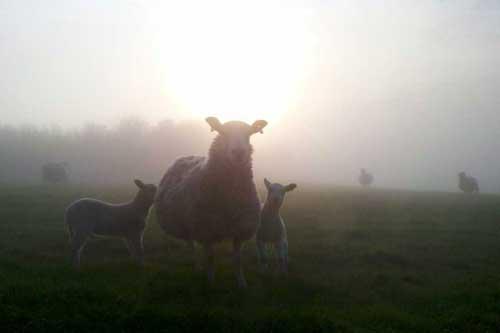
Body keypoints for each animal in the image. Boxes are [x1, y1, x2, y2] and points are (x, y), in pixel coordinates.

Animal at [156, 116, 268, 286]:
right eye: (223, 132)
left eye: (249, 134)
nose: (239, 152)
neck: (229, 198)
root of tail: (189, 156)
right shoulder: (206, 230)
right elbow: (210, 258)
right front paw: (210, 282)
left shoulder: (240, 230)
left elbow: (237, 260)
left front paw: (241, 283)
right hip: (186, 224)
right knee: (191, 246)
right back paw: (197, 267)